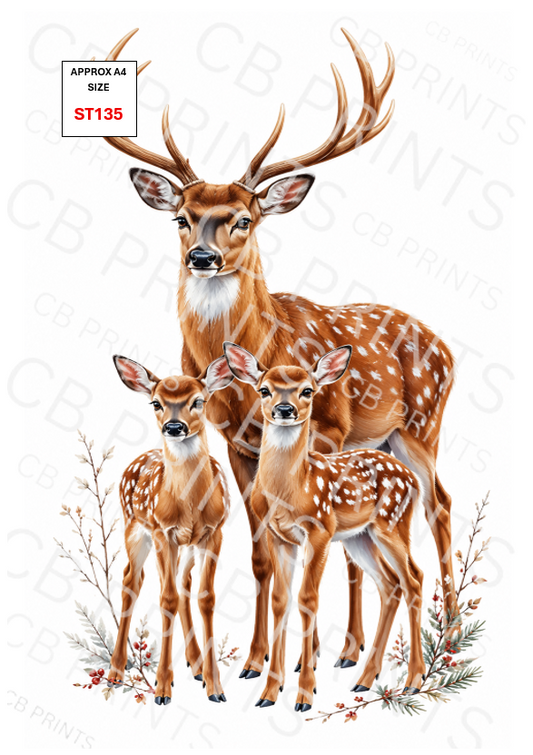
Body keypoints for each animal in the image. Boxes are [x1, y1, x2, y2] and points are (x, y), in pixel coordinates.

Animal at [110, 353, 234, 704]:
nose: (174, 426)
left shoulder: (214, 533)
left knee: (182, 584)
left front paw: (216, 687)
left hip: (185, 546)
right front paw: (163, 689)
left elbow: (206, 598)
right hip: (135, 528)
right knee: (131, 580)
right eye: (156, 403)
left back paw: (196, 666)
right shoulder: (162, 532)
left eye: (198, 401)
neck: (189, 505)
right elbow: (165, 599)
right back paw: (115, 671)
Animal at [223, 341, 426, 711]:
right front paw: (269, 693)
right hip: (361, 537)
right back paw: (364, 679)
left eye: (307, 390)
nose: (284, 409)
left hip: (392, 523)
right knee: (390, 584)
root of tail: (412, 479)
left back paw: (414, 680)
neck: (291, 490)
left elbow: (308, 598)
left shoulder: (319, 530)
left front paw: (304, 695)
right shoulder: (279, 536)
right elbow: (280, 599)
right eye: (264, 389)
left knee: (414, 579)